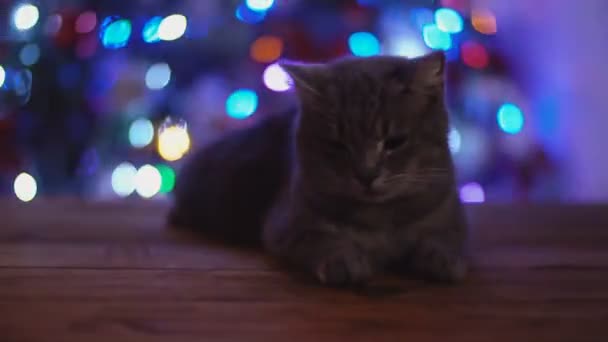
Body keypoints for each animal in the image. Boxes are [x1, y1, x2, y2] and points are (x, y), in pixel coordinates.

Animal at [169, 50, 468, 286]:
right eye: (338, 144)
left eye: (395, 142)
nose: (366, 175)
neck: (379, 218)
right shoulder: (287, 224)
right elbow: (321, 239)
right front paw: (342, 261)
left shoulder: (449, 216)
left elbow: (444, 238)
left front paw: (444, 259)